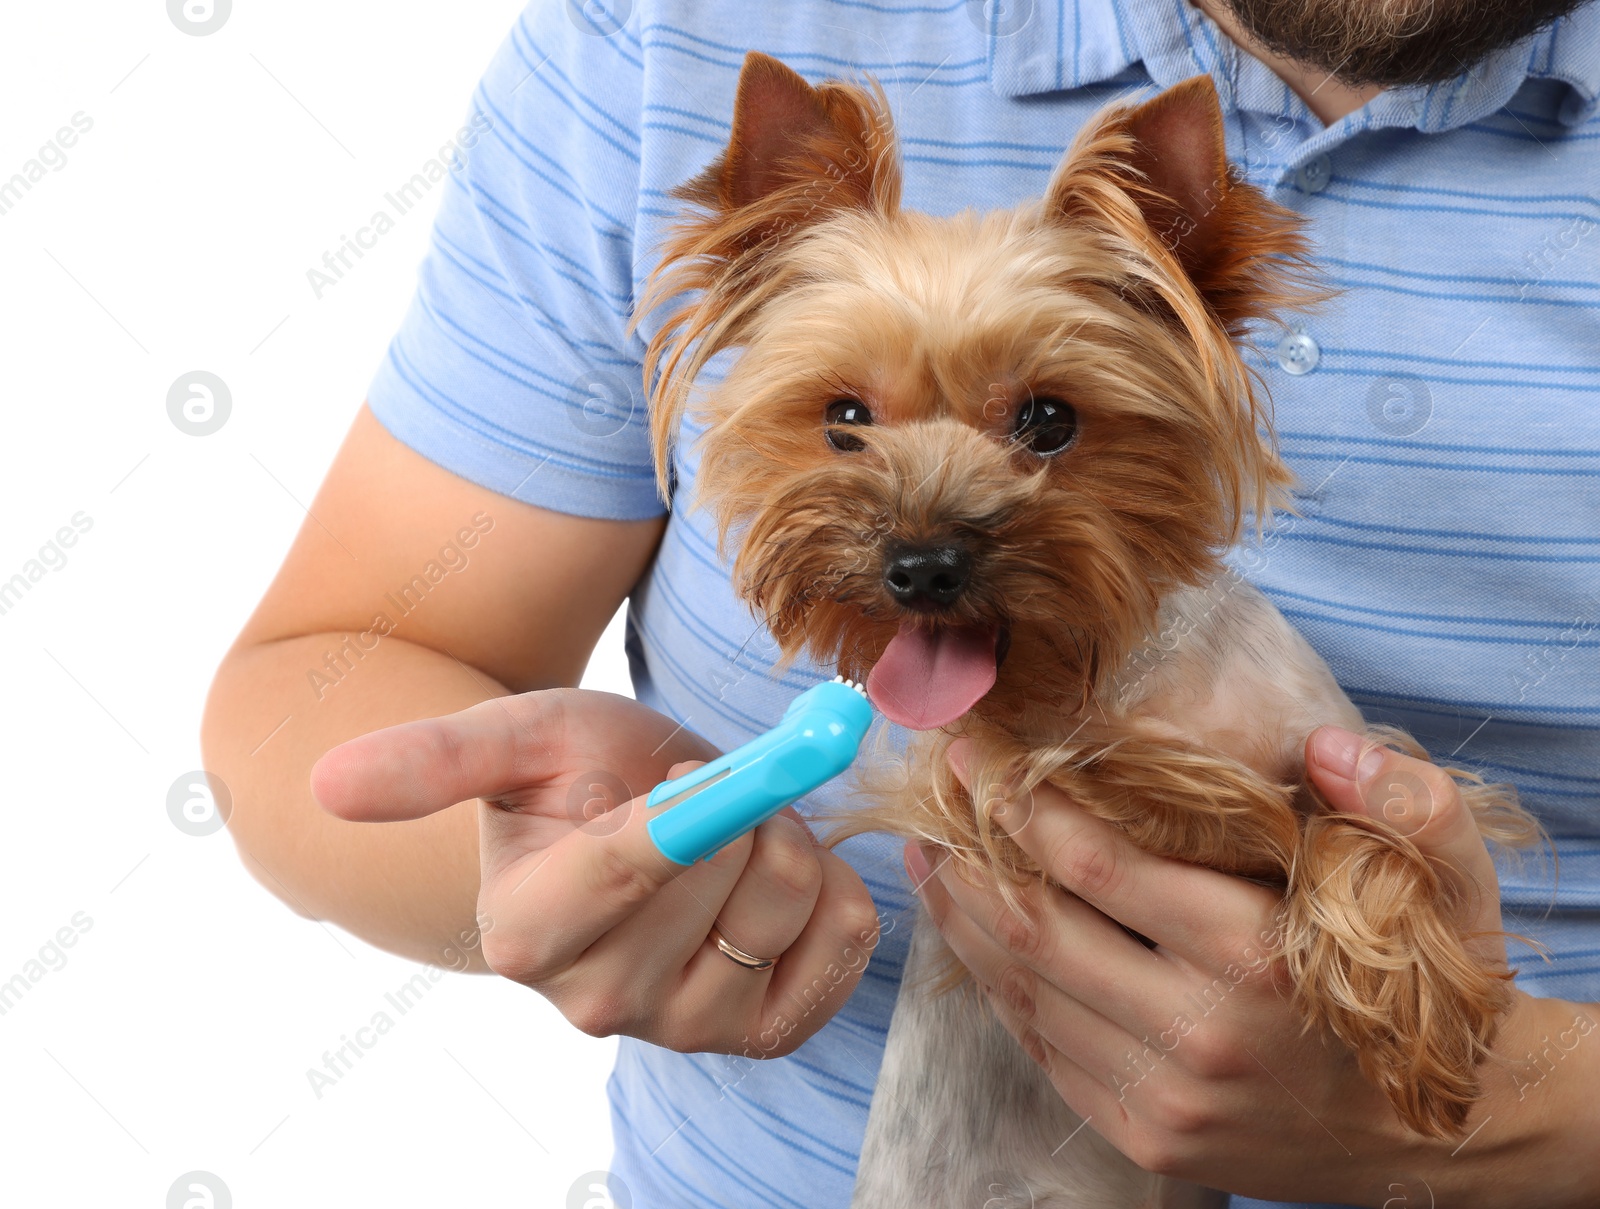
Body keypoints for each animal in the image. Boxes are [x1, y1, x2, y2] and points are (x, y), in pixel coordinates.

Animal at [633, 51, 1536, 1202]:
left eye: (1049, 421)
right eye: (843, 420)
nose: (918, 564)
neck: (1124, 682)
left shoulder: (1355, 750)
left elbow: (1351, 824)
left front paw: (1424, 1015)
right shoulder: (998, 783)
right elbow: (1249, 814)